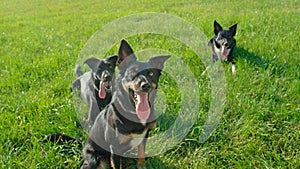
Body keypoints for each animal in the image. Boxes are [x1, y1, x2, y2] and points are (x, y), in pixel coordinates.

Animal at [81, 40, 171, 169]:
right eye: (132, 72)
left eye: (151, 73)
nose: (145, 85)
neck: (134, 113)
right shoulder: (115, 148)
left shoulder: (144, 137)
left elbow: (141, 156)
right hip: (94, 159)